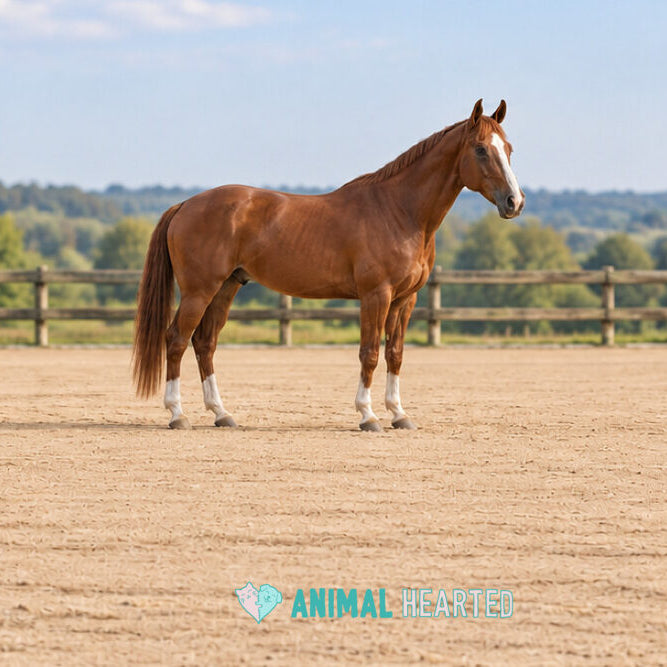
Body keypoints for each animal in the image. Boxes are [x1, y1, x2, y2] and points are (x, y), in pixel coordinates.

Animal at [133, 99, 524, 431]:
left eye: (508, 149)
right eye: (480, 149)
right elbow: (369, 353)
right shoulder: (376, 296)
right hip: (199, 290)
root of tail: (185, 204)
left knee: (205, 342)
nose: (514, 202)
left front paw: (399, 414)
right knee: (177, 339)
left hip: (227, 286)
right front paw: (368, 416)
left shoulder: (405, 299)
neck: (400, 211)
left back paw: (222, 414)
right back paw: (177, 414)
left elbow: (395, 354)